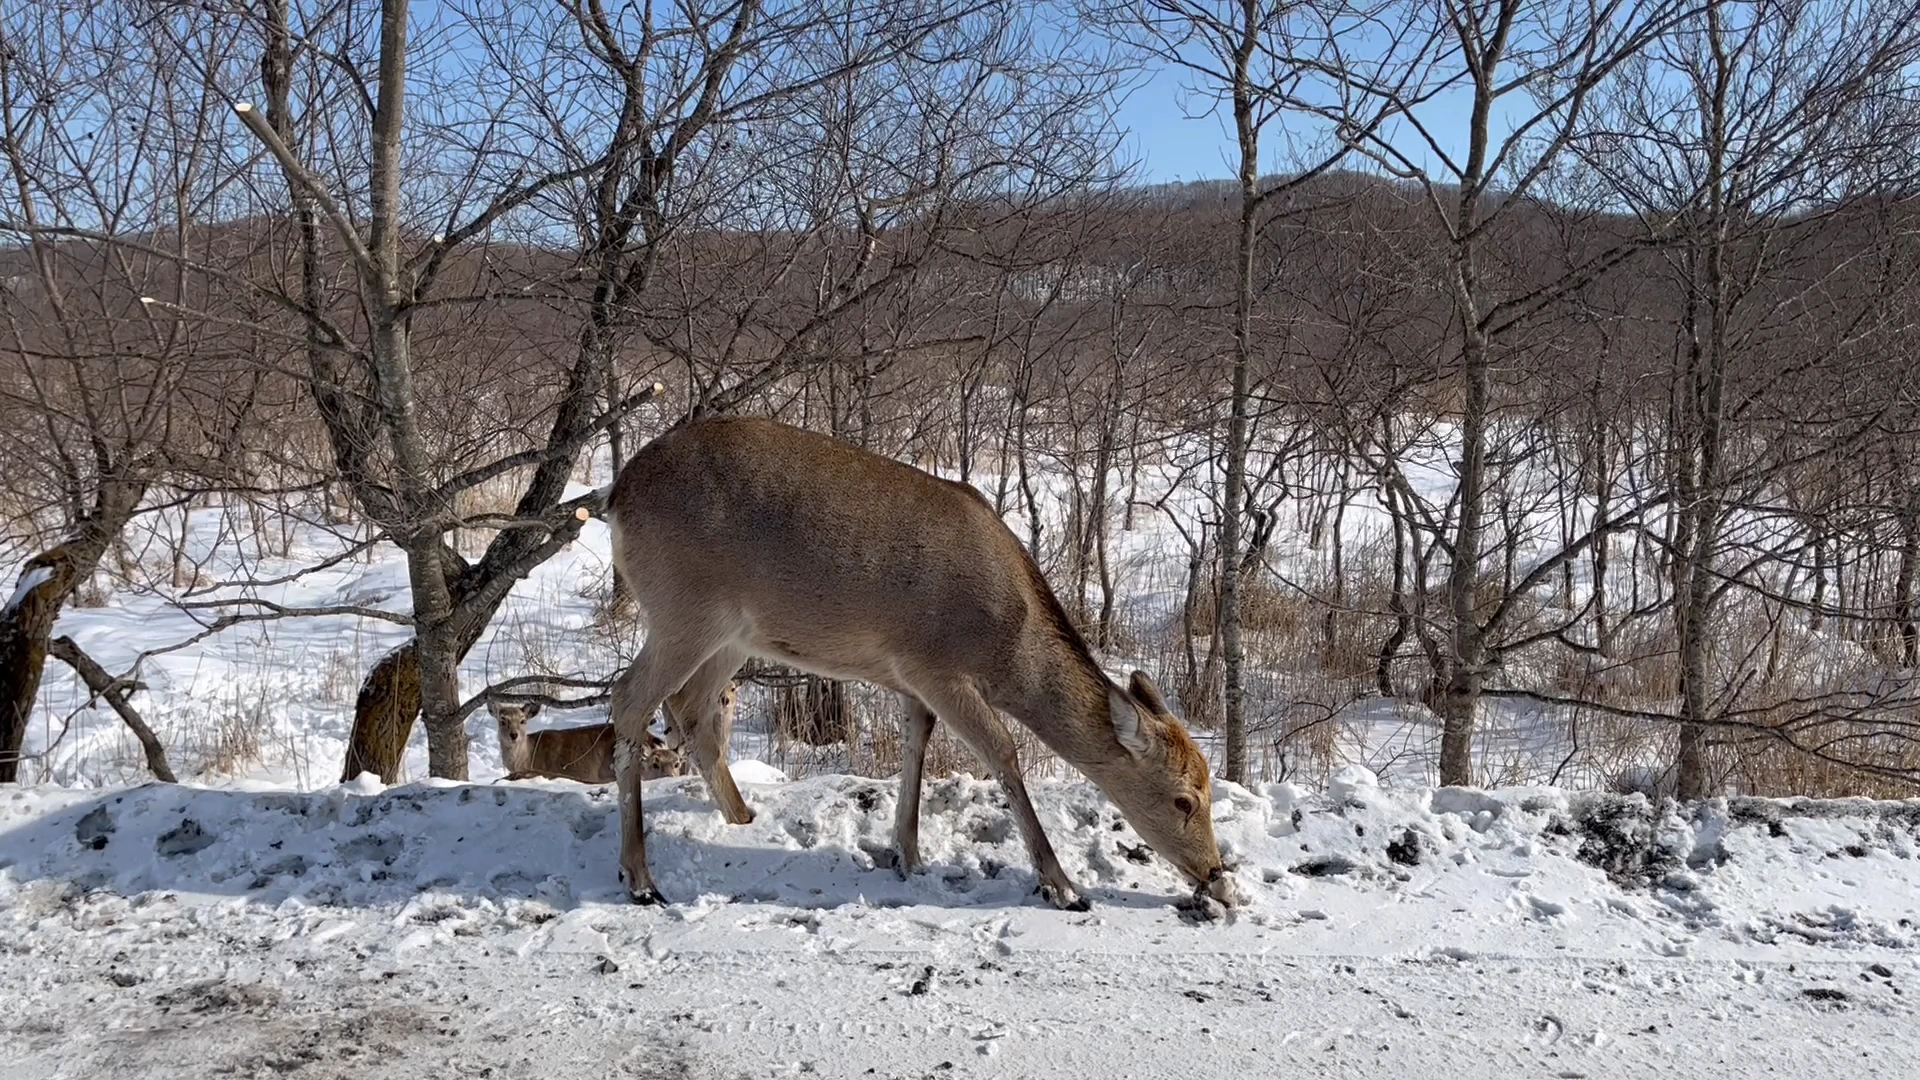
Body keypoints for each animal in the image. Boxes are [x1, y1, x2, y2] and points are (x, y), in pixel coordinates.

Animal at [602, 415, 1242, 912]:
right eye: (1184, 800)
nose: (1215, 873)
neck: (1004, 648)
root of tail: (616, 495)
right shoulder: (935, 664)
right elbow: (1002, 753)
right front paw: (1061, 885)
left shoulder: (910, 676)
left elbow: (918, 744)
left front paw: (906, 854)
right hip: (683, 607)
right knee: (629, 700)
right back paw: (640, 878)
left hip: (733, 633)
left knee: (691, 707)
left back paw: (742, 820)